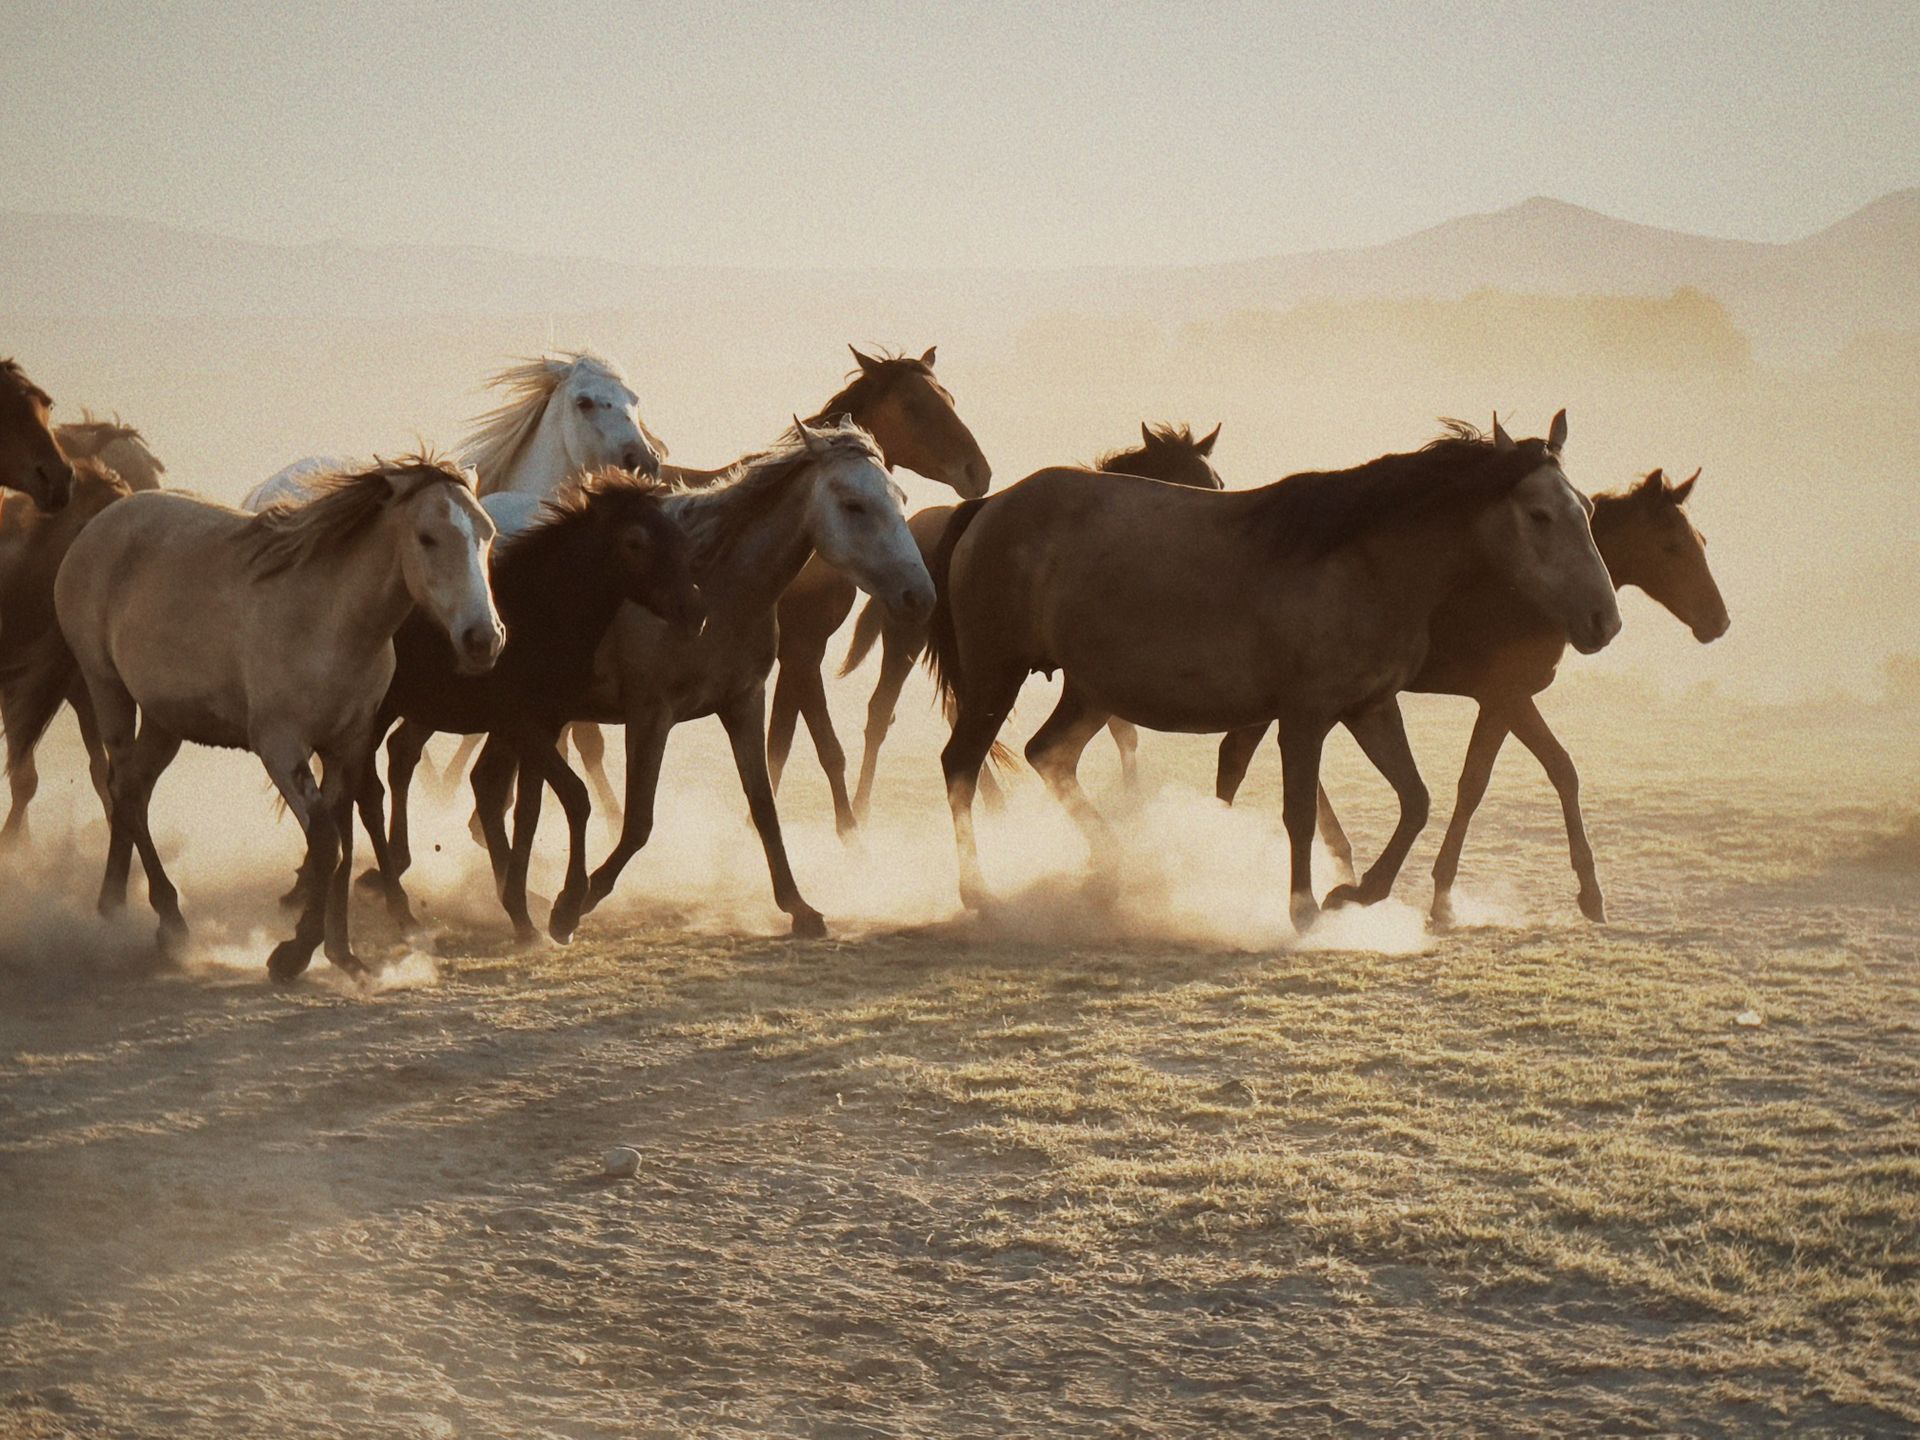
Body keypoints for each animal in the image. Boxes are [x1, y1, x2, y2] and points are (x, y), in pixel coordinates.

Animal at [354, 470, 705, 944]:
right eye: (634, 542)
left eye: (678, 537)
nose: (695, 610)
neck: (541, 617)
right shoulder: (523, 724)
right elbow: (574, 797)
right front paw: (564, 910)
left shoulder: (546, 724)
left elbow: (528, 811)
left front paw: (522, 915)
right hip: (374, 712)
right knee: (367, 788)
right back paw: (394, 904)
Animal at [480, 417, 934, 939]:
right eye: (854, 504)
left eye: (900, 498)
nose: (920, 596)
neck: (713, 587)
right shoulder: (650, 716)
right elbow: (638, 822)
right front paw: (576, 904)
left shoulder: (743, 703)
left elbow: (764, 805)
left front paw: (798, 906)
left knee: (488, 790)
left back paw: (518, 904)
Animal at [838, 421, 1223, 825]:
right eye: (1183, 481)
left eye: (1217, 483)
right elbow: (1121, 731)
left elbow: (1122, 731)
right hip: (907, 640)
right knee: (882, 713)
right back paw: (862, 808)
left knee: (957, 713)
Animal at [925, 412, 1620, 932]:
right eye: (1539, 515)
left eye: (1587, 508)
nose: (1604, 620)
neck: (1364, 563)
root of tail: (992, 506)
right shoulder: (1305, 717)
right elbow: (1301, 812)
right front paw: (1305, 907)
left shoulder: (1370, 707)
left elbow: (1417, 801)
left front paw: (1355, 894)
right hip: (997, 673)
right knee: (962, 765)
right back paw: (981, 892)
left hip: (1089, 689)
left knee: (1050, 755)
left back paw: (1120, 870)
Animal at [1213, 464, 1729, 924]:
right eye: (1672, 546)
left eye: (1702, 542)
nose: (1718, 621)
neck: (1536, 597)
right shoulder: (1507, 695)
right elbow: (1521, 776)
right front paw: (1581, 893)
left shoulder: (1503, 699)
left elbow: (1502, 778)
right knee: (1238, 759)